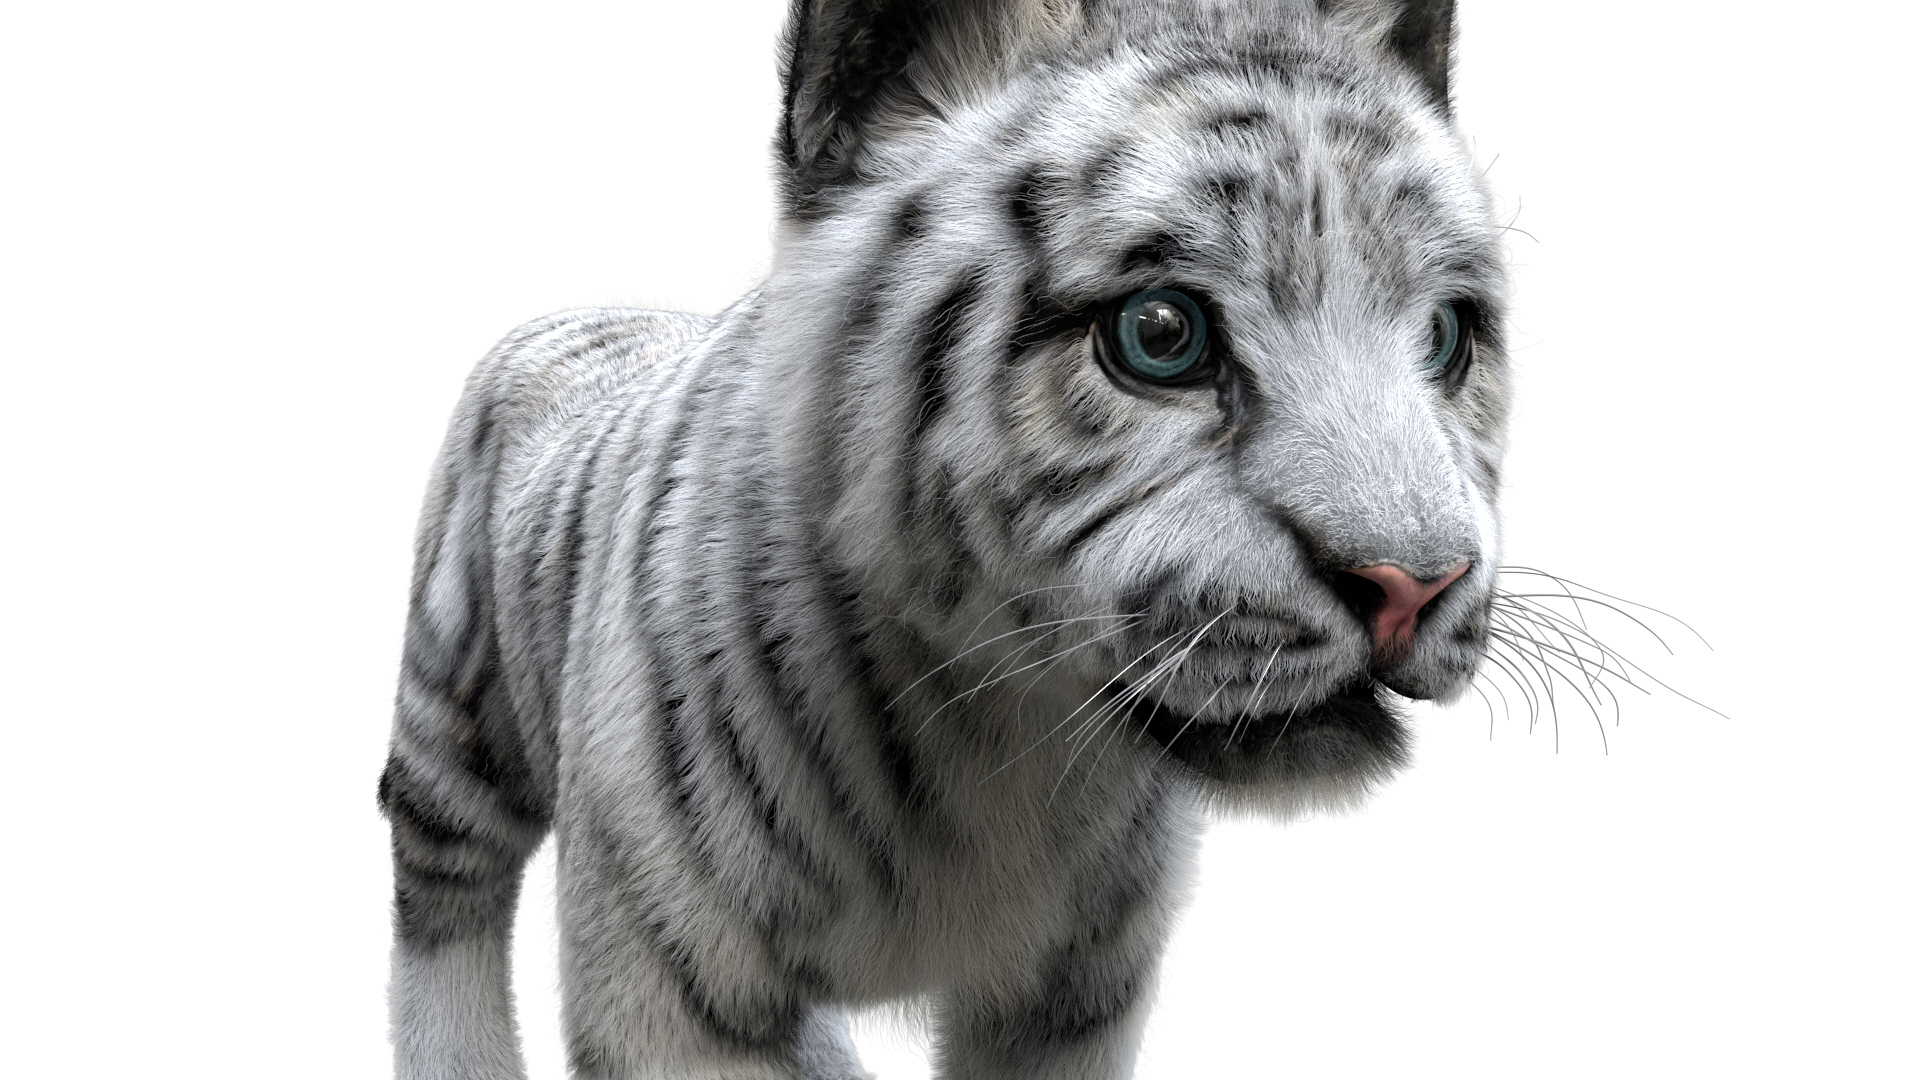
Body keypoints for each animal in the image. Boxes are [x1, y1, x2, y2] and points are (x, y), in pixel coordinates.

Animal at [379, 1, 1511, 1077]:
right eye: (1160, 333)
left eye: (1445, 336)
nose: (1415, 584)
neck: (997, 740)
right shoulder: (673, 987)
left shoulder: (1075, 994)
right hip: (452, 722)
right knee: (440, 897)